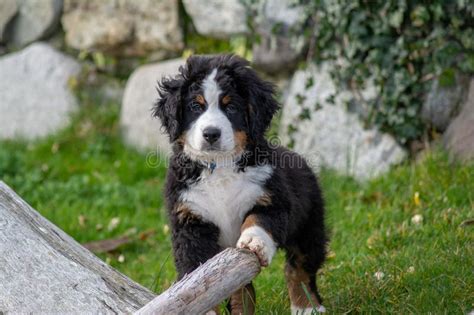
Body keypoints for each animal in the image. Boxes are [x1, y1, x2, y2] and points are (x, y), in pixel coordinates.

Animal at [154, 55, 328, 314]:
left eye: (231, 107)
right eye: (195, 106)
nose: (211, 134)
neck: (219, 167)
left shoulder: (273, 199)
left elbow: (258, 220)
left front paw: (254, 242)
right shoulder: (190, 222)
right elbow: (199, 275)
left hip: (309, 225)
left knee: (300, 267)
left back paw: (307, 306)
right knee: (241, 289)